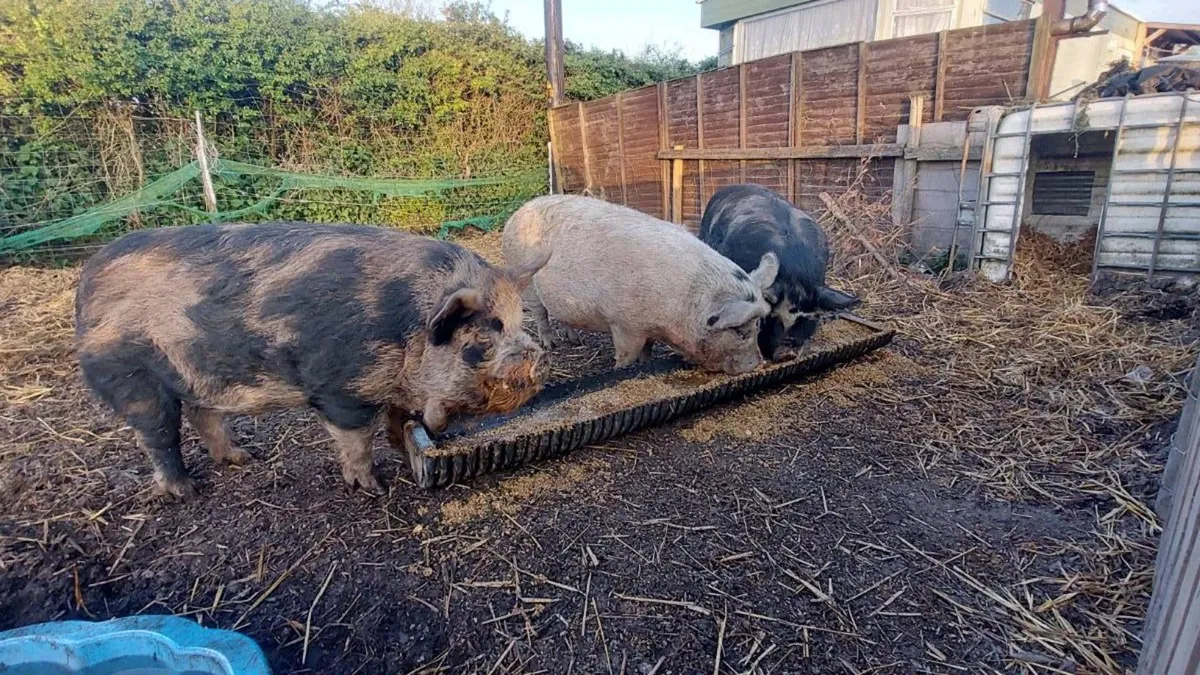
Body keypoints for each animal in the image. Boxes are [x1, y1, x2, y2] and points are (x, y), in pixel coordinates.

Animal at [74, 222, 549, 500]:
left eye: (518, 320)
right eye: (483, 335)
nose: (533, 358)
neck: (406, 327)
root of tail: (87, 281)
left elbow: (398, 418)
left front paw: (402, 446)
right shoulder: (344, 388)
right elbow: (357, 439)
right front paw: (373, 487)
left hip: (195, 375)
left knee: (202, 415)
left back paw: (243, 458)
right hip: (131, 377)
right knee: (158, 437)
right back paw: (188, 492)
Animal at [501, 194, 778, 375]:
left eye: (758, 325)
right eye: (739, 332)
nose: (758, 364)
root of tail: (518, 212)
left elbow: (648, 347)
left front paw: (646, 364)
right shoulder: (623, 324)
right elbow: (627, 353)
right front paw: (620, 371)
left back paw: (575, 341)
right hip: (526, 280)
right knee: (540, 314)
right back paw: (551, 345)